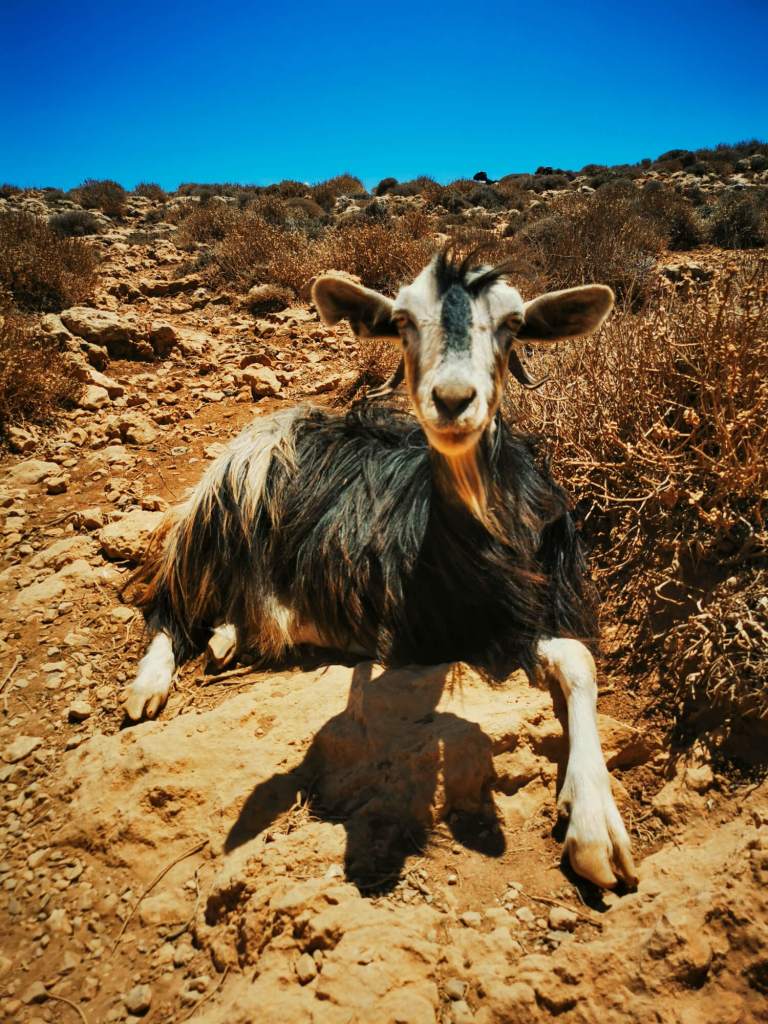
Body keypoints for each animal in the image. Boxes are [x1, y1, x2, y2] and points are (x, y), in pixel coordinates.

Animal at [125, 248, 637, 890]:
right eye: (401, 321)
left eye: (513, 324)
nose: (452, 399)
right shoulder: (452, 628)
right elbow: (566, 656)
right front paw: (594, 833)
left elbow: (577, 658)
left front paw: (595, 820)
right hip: (229, 490)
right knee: (168, 602)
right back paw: (149, 685)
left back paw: (227, 638)